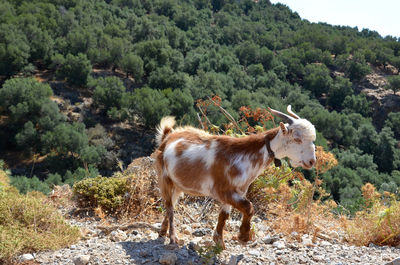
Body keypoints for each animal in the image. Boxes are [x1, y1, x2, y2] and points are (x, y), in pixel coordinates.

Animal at [155, 105, 318, 248]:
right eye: (297, 138)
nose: (311, 161)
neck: (244, 156)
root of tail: (168, 137)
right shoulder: (223, 191)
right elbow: (249, 207)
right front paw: (243, 236)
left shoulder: (236, 193)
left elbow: (224, 216)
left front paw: (219, 242)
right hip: (164, 178)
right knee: (169, 207)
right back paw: (173, 238)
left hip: (177, 184)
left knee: (172, 204)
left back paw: (163, 231)